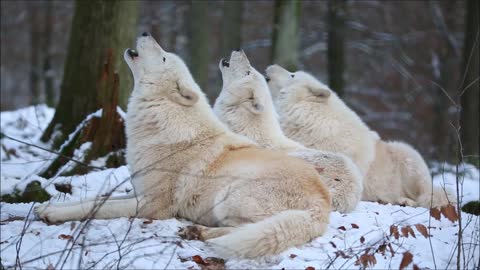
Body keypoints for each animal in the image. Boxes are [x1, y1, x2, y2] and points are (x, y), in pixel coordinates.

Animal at [35, 34, 332, 258]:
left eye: (164, 56)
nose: (146, 33)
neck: (162, 117)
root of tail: (323, 204)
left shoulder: (152, 206)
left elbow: (97, 208)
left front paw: (53, 214)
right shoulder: (139, 191)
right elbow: (96, 199)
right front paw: (47, 207)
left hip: (229, 196)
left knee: (247, 231)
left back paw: (200, 233)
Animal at [264, 65, 456, 209]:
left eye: (292, 74)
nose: (269, 67)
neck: (311, 120)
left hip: (408, 155)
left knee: (426, 197)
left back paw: (405, 201)